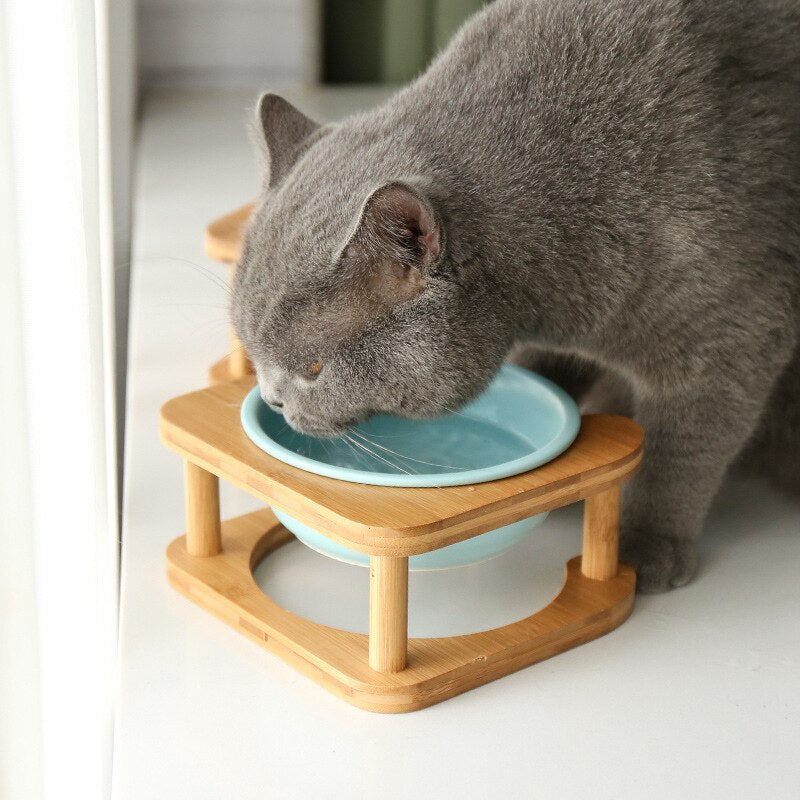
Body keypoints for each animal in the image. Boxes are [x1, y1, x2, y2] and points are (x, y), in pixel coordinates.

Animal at [228, 0, 796, 592]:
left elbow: (682, 447)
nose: (272, 398)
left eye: (313, 369)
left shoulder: (733, 327)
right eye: (251, 349)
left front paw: (643, 550)